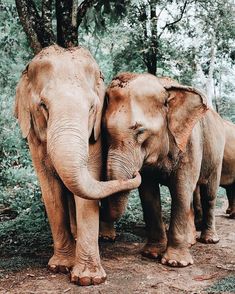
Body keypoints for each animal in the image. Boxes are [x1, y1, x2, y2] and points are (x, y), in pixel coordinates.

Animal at [14, 45, 140, 284]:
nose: (137, 174)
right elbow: (50, 190)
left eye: (92, 107)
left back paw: (105, 237)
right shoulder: (34, 140)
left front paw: (88, 279)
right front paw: (60, 267)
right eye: (43, 105)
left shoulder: (95, 136)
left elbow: (88, 182)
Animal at [101, 72, 226, 268]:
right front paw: (151, 253)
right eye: (104, 132)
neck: (164, 86)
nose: (135, 172)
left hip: (217, 154)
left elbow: (181, 190)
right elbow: (148, 194)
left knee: (209, 194)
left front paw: (176, 262)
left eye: (140, 132)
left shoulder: (189, 142)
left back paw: (209, 240)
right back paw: (191, 241)